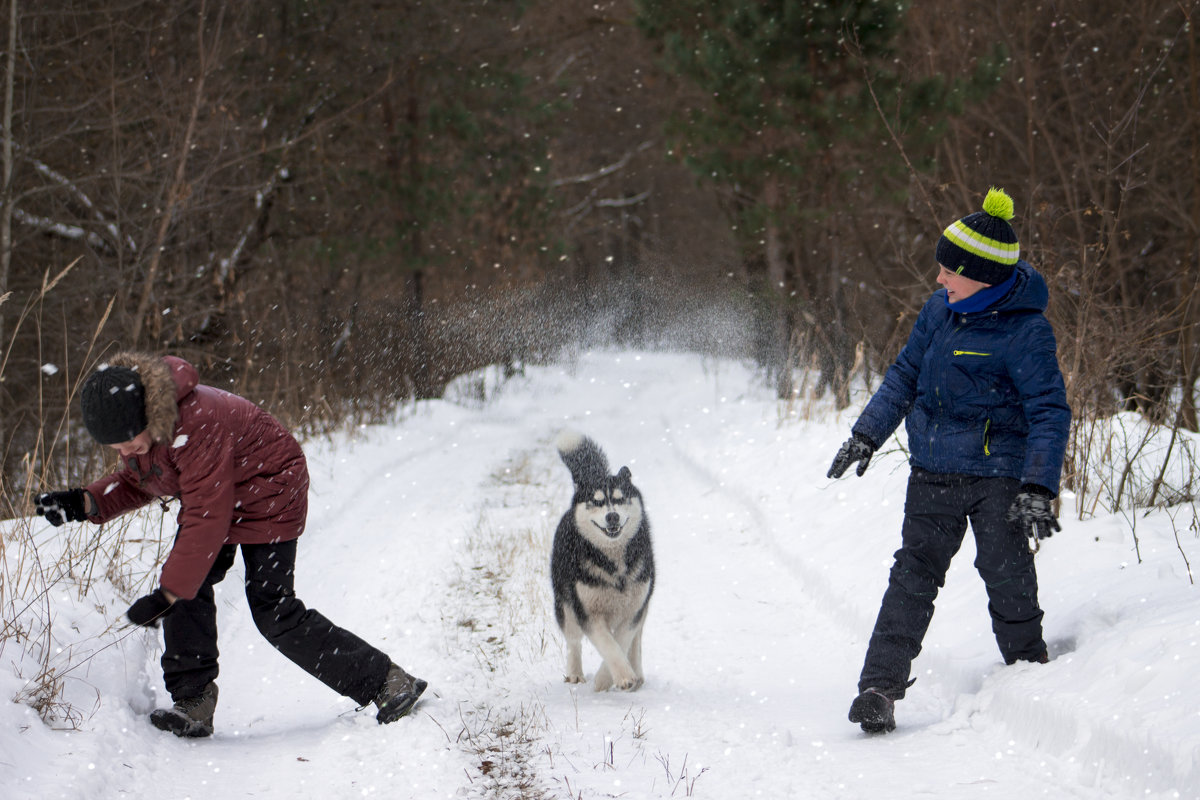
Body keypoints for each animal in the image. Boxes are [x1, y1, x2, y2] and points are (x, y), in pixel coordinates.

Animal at [552, 429, 657, 690]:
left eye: (619, 499)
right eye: (597, 501)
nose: (612, 517)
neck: (613, 562)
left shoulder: (635, 607)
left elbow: (622, 639)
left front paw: (609, 677)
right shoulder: (588, 612)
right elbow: (608, 644)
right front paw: (617, 677)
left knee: (636, 640)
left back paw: (637, 673)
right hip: (564, 603)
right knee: (573, 640)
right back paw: (575, 674)